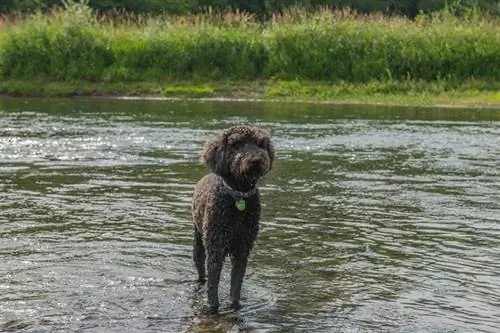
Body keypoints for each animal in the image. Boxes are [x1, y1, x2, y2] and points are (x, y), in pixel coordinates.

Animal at [192, 124, 278, 312]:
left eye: (260, 144)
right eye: (236, 144)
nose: (255, 160)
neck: (239, 195)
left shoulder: (243, 248)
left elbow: (236, 283)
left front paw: (234, 305)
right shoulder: (216, 248)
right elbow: (213, 284)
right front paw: (213, 307)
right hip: (198, 240)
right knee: (201, 268)